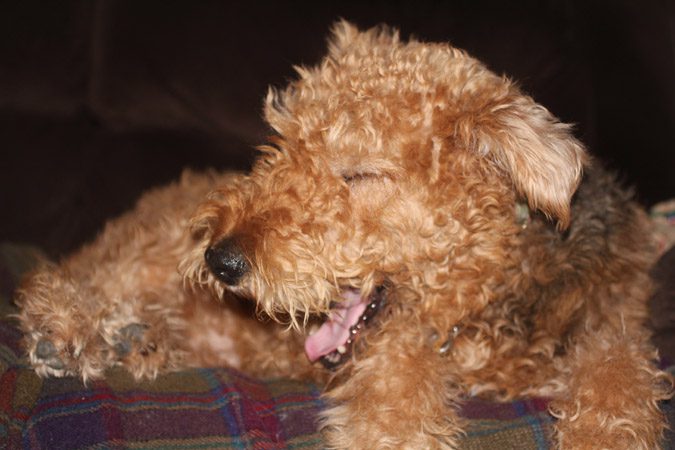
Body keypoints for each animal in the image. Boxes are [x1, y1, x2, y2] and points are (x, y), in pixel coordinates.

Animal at [15, 22, 672, 450]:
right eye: (282, 141)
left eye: (358, 172)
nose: (222, 260)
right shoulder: (396, 352)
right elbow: (395, 400)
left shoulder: (609, 327)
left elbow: (618, 376)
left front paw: (603, 435)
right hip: (147, 252)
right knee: (76, 281)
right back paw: (71, 332)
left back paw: (139, 340)